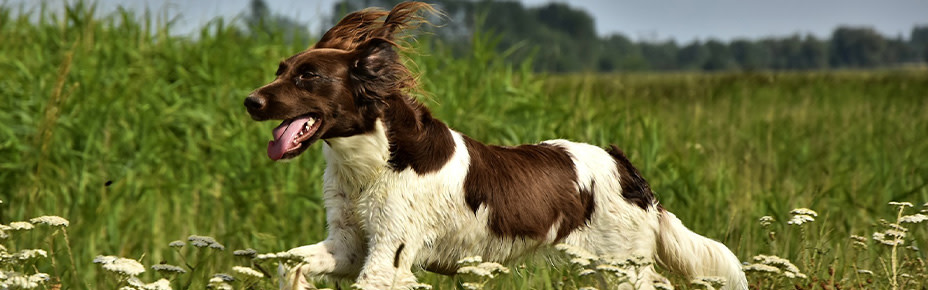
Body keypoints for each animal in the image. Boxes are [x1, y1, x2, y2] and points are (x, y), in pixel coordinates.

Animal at [245, 2, 748, 290]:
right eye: (281, 68)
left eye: (308, 76)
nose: (250, 101)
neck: (373, 161)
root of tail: (625, 167)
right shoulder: (349, 245)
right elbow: (288, 266)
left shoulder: (388, 257)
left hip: (622, 265)